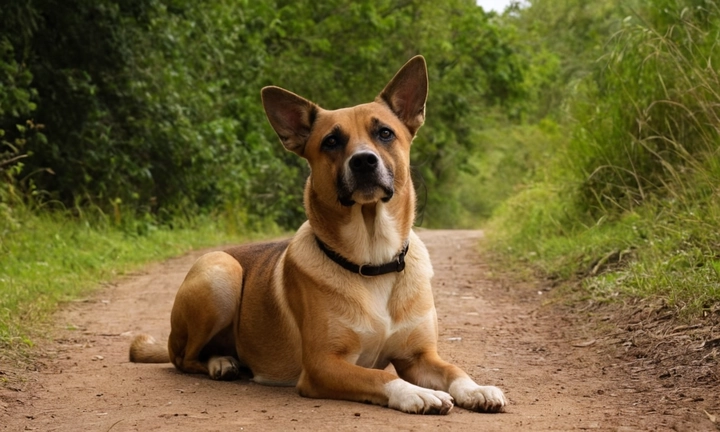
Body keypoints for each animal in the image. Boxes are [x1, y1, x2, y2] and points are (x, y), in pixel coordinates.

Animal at [131, 55, 506, 414]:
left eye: (385, 133)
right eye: (332, 141)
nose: (364, 161)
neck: (374, 260)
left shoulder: (419, 357)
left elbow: (455, 370)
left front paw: (476, 389)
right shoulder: (323, 365)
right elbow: (380, 377)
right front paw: (417, 393)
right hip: (220, 273)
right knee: (183, 358)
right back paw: (221, 362)